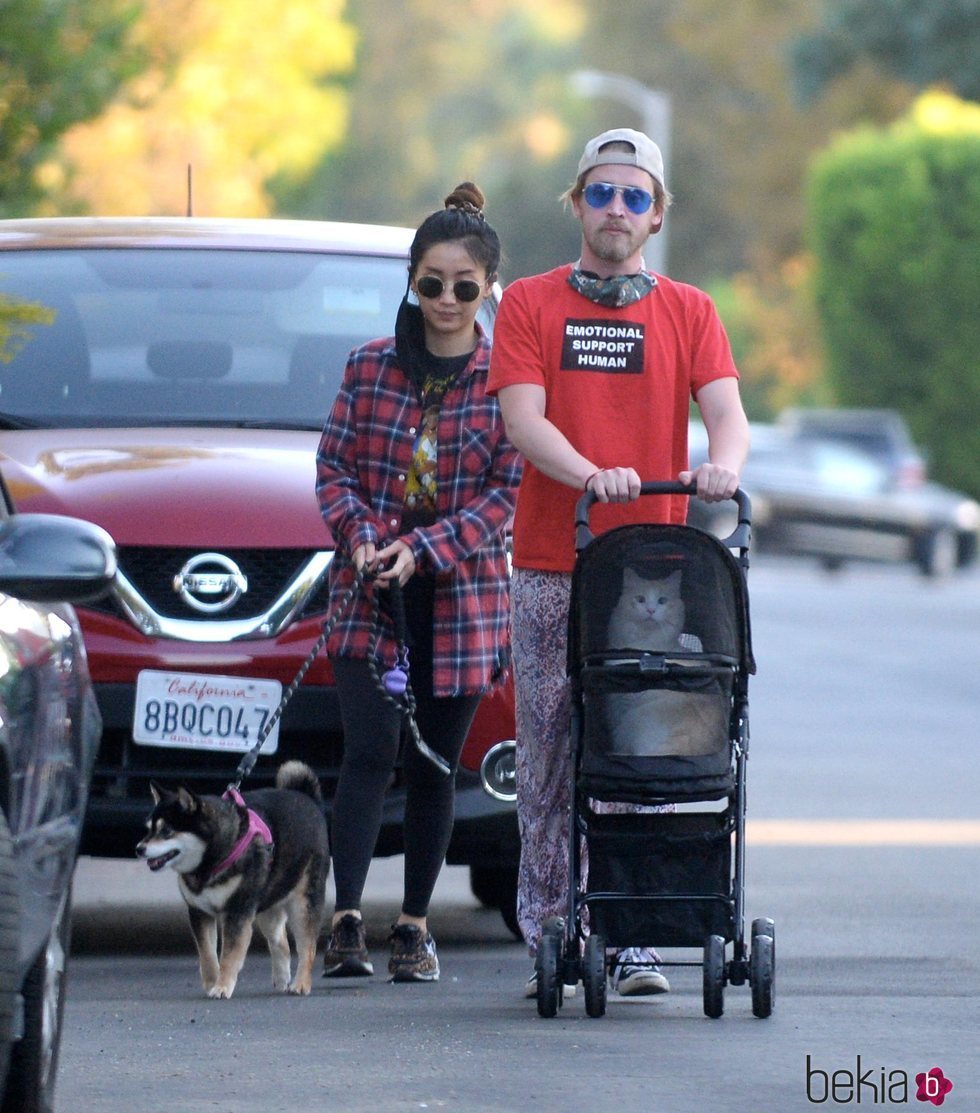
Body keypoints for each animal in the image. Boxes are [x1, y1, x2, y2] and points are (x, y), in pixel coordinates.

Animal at [135, 761, 331, 997]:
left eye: (166, 831)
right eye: (148, 830)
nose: (139, 849)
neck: (208, 865)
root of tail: (307, 798)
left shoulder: (237, 913)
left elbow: (229, 955)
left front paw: (222, 986)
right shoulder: (199, 912)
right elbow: (207, 954)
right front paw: (212, 981)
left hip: (302, 904)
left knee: (307, 947)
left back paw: (301, 984)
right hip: (266, 905)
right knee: (280, 941)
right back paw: (282, 978)